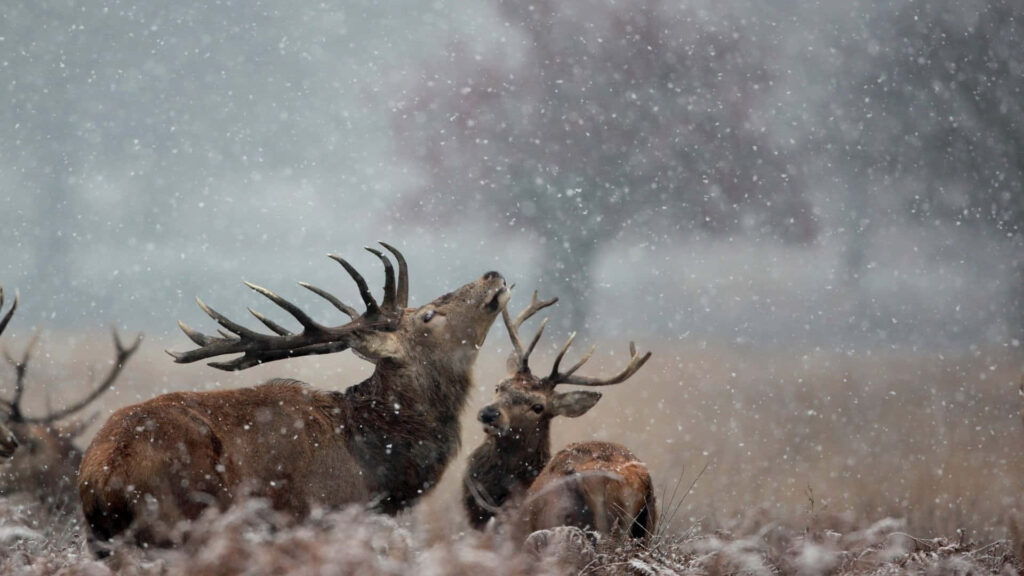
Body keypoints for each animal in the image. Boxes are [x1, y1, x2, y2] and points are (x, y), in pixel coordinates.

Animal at [78, 244, 510, 553]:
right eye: (429, 315)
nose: (492, 274)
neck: (376, 471)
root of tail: (102, 475)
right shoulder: (323, 515)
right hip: (182, 523)